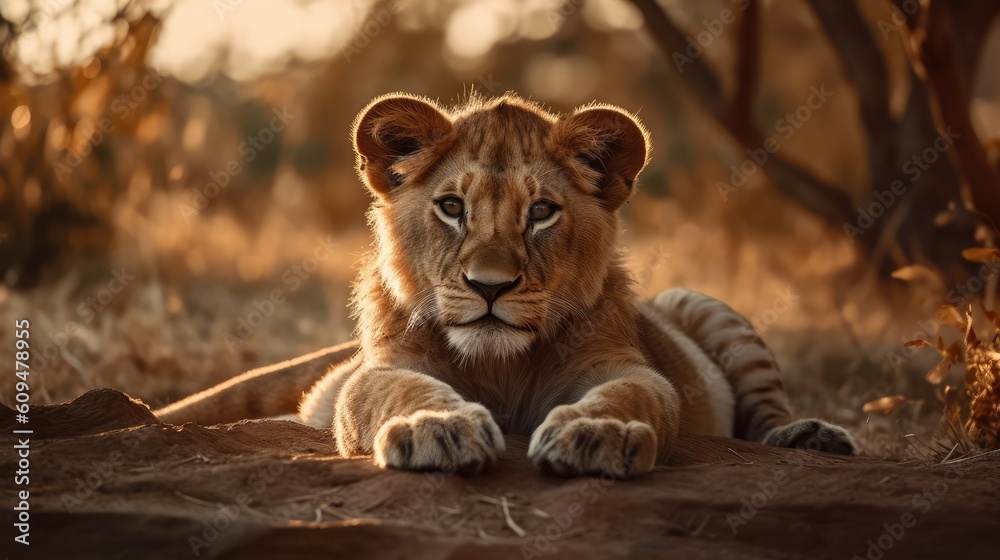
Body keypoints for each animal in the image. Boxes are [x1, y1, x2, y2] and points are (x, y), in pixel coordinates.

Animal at [156, 92, 856, 477]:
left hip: (707, 305)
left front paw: (594, 436)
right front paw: (439, 428)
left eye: (541, 212)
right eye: (451, 207)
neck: (501, 367)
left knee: (765, 413)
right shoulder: (381, 369)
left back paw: (811, 437)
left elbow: (627, 396)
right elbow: (400, 390)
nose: (489, 286)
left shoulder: (627, 367)